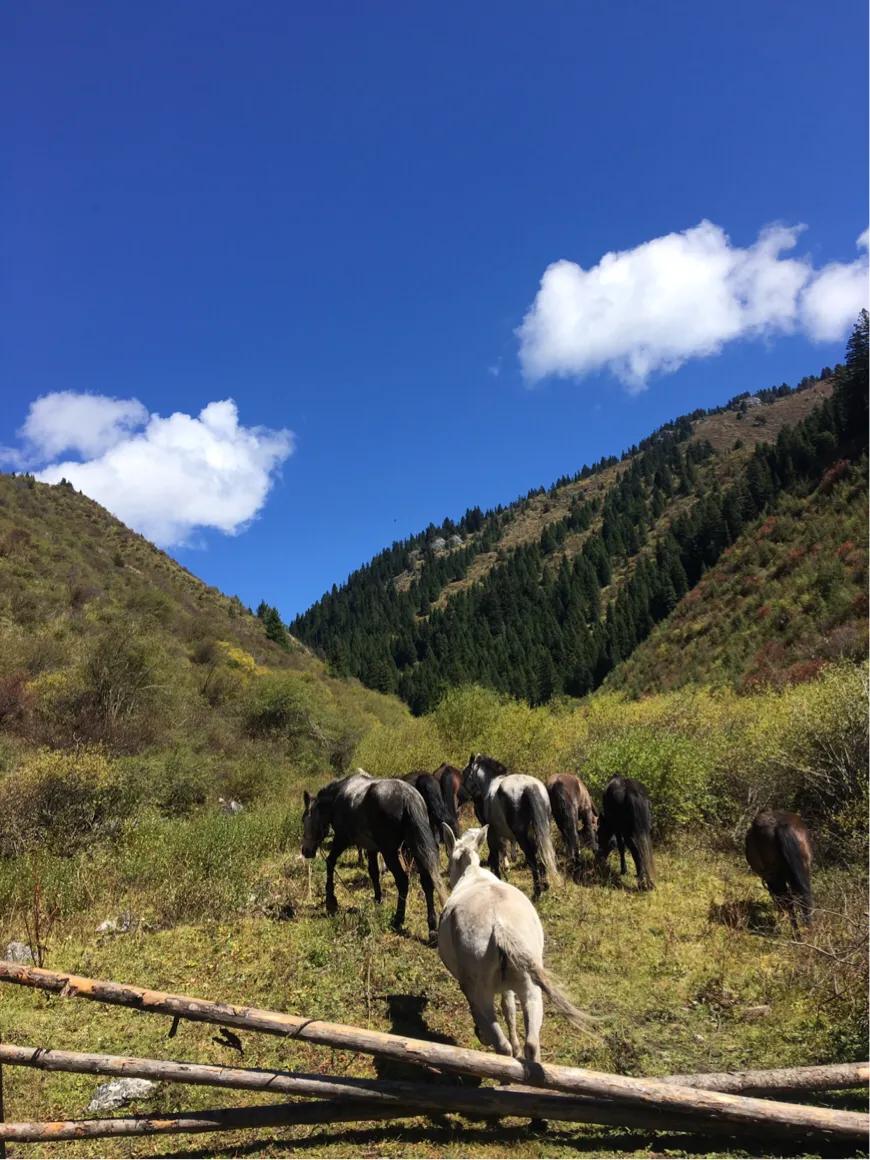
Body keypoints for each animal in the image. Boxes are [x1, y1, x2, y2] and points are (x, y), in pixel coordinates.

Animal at [303, 765, 445, 937]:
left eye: (304, 819)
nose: (305, 851)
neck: (339, 795)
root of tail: (408, 797)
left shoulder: (342, 839)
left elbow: (330, 862)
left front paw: (331, 902)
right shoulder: (371, 848)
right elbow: (374, 872)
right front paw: (378, 900)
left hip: (390, 852)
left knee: (403, 881)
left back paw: (398, 920)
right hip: (415, 847)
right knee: (427, 881)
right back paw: (432, 928)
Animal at [438, 825, 589, 1062]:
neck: (473, 874)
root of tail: (500, 925)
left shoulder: (470, 988)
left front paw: (481, 1034)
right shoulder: (508, 986)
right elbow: (509, 1008)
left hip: (480, 991)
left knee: (501, 1044)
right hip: (530, 986)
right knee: (532, 1042)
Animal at [464, 751, 559, 895]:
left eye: (465, 772)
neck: (490, 783)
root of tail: (529, 786)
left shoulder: (492, 833)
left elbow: (496, 854)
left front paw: (497, 875)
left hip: (521, 836)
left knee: (531, 858)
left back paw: (537, 892)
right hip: (541, 831)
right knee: (541, 855)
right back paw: (545, 885)